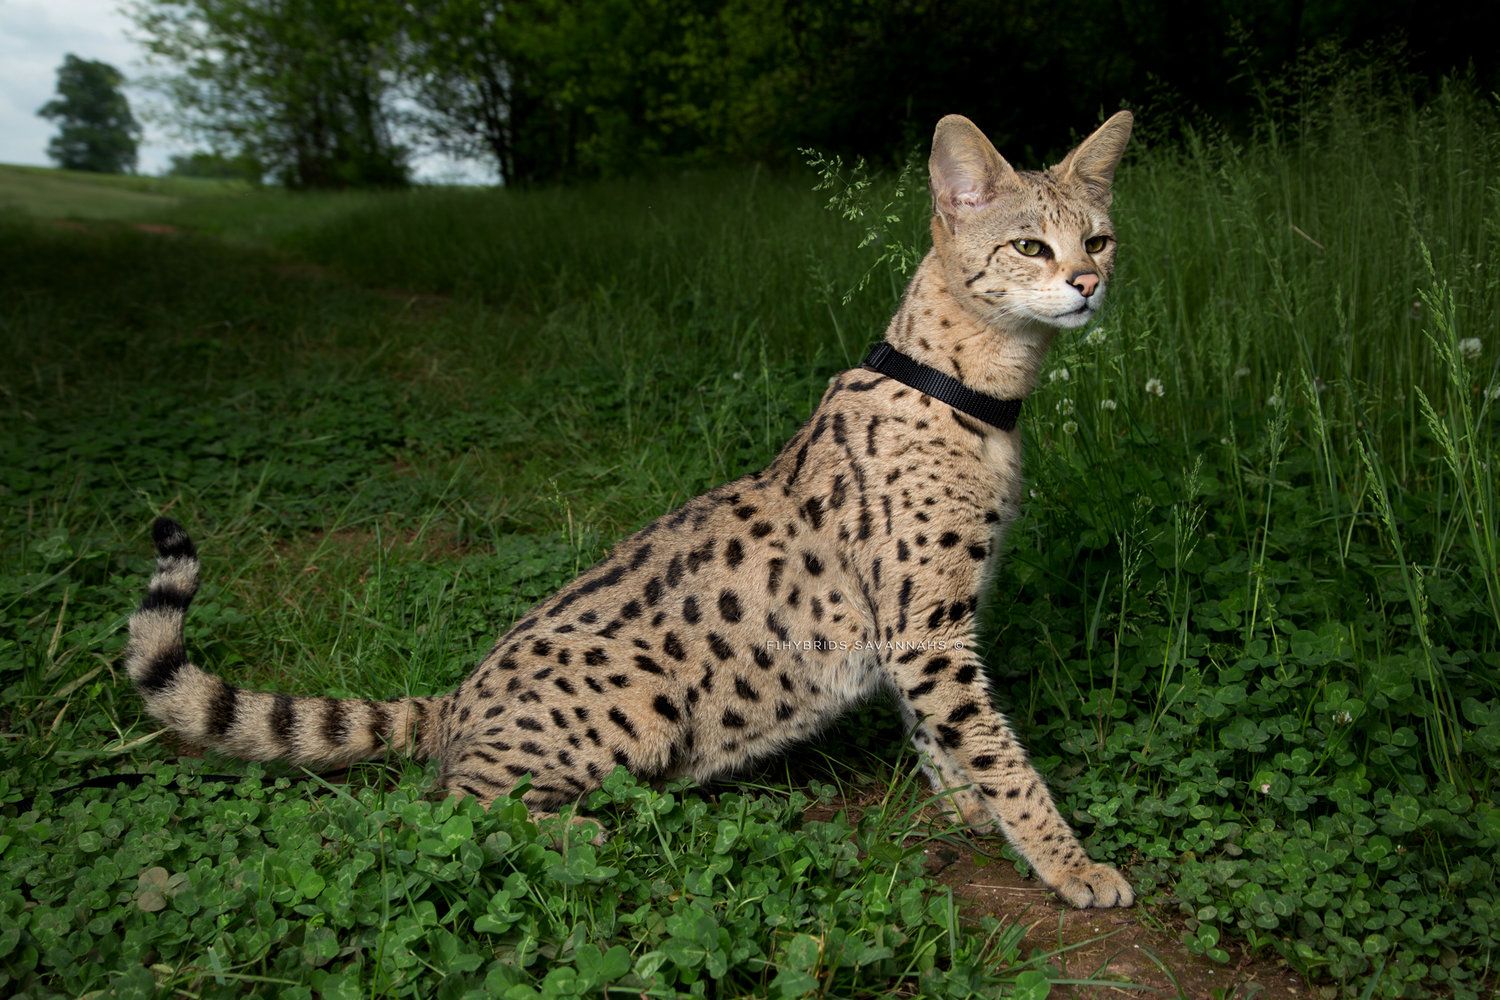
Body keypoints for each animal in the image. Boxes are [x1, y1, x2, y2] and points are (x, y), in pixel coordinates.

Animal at [129, 109, 1134, 905]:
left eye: (1100, 240)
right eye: (1030, 246)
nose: (1089, 285)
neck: (976, 391)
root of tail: (454, 698)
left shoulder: (924, 628)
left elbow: (941, 735)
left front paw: (967, 811)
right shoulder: (926, 626)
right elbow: (998, 750)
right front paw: (1069, 864)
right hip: (635, 702)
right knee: (447, 807)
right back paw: (589, 827)